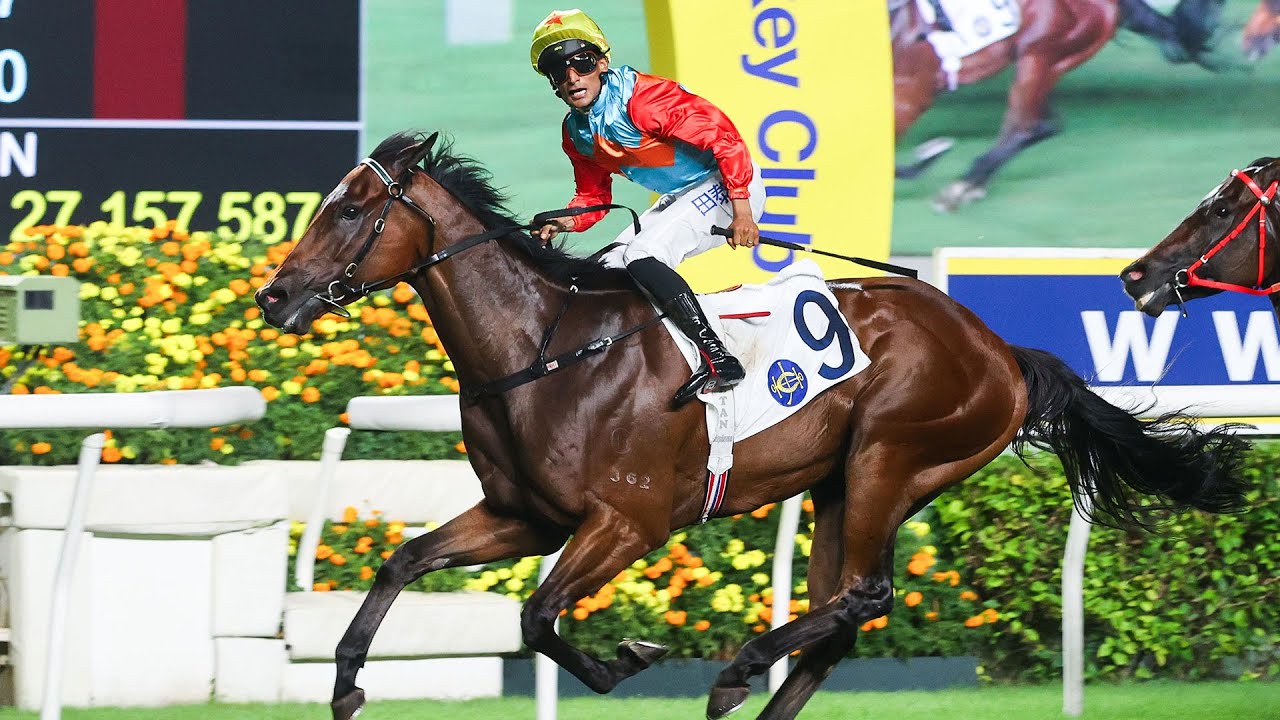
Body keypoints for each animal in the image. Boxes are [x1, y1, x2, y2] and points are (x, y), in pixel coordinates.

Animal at [256, 131, 1251, 720]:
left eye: (353, 207)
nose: (274, 294)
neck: (544, 348)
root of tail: (1000, 347)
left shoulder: (627, 523)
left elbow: (538, 617)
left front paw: (629, 658)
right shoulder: (524, 516)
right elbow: (402, 561)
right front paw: (345, 683)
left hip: (894, 455)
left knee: (866, 596)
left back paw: (739, 668)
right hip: (844, 486)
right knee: (840, 617)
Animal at [892, 0, 1225, 212]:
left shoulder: (909, 96)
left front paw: (930, 155)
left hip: (1038, 55)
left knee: (1028, 125)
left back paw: (962, 186)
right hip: (1049, 64)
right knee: (1043, 124)